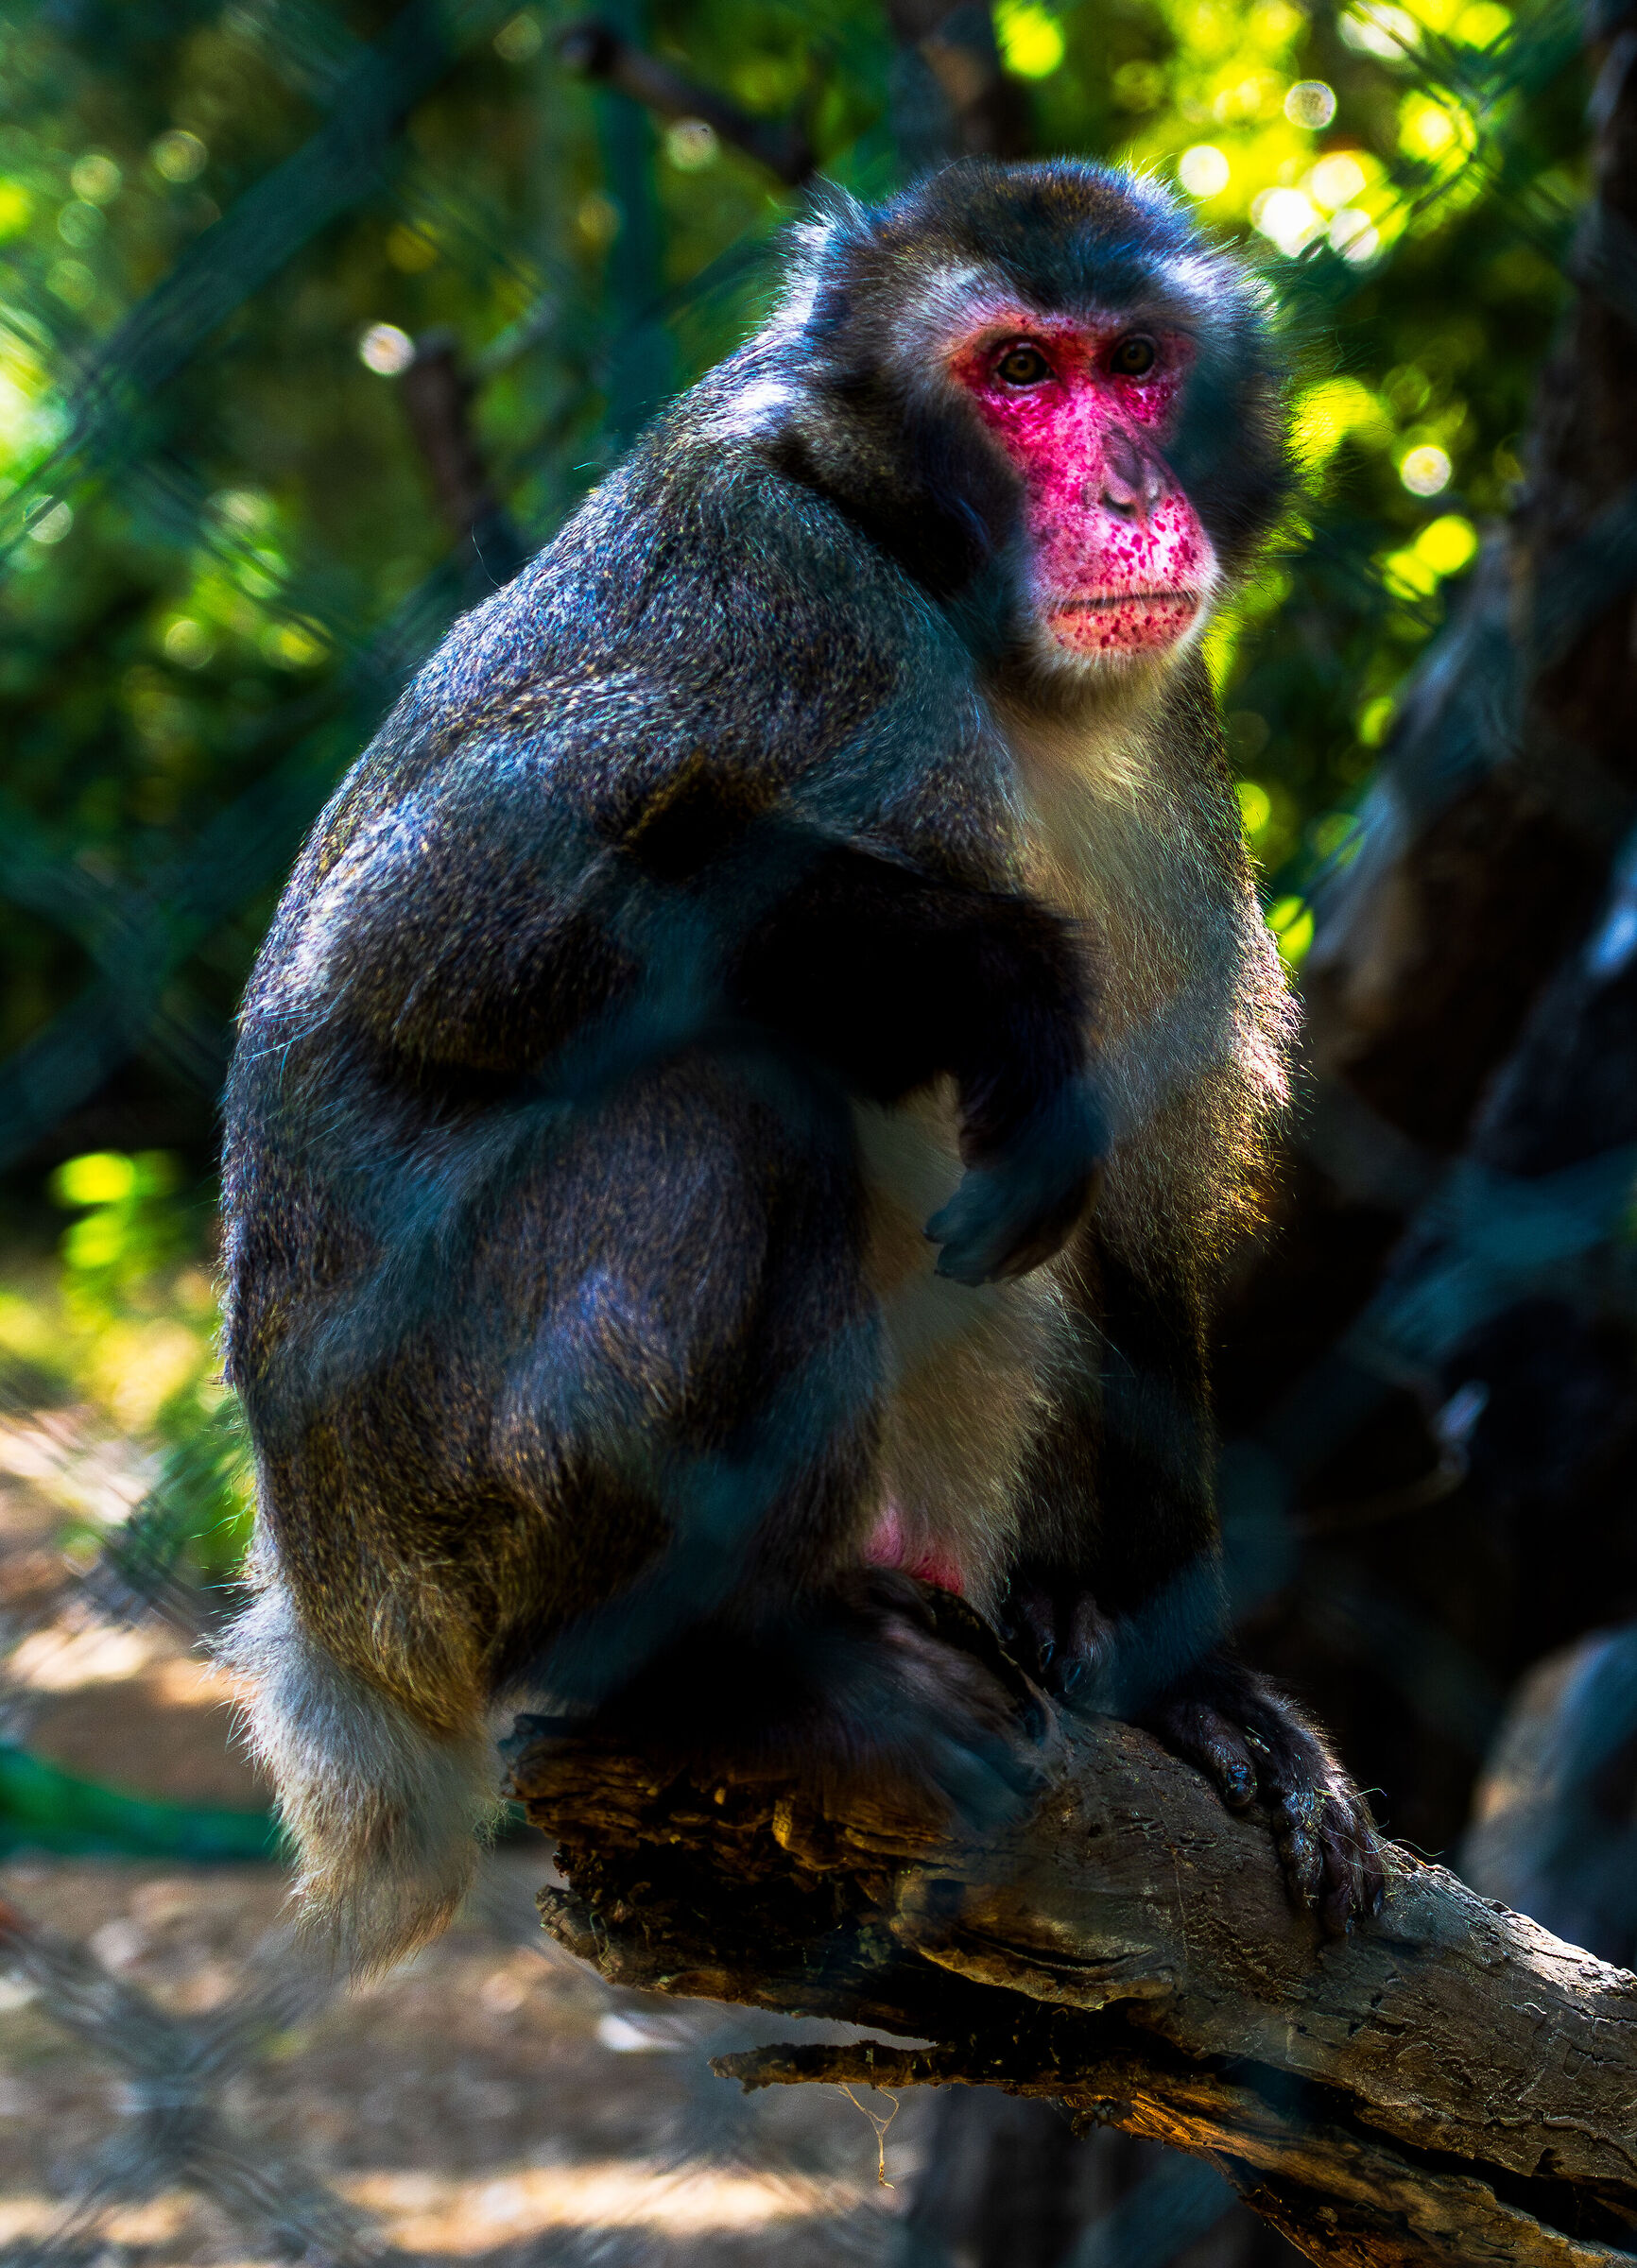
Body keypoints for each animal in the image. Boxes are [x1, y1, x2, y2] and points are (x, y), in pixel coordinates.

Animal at [217, 158, 1387, 1975]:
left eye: (1133, 363)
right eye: (1016, 372)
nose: (1129, 490)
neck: (981, 639)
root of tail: (322, 1610)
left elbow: (1143, 1203)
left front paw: (1189, 1688)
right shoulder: (781, 609)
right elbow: (428, 929)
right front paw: (1003, 987)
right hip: (422, 1509)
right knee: (723, 1113)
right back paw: (717, 1665)